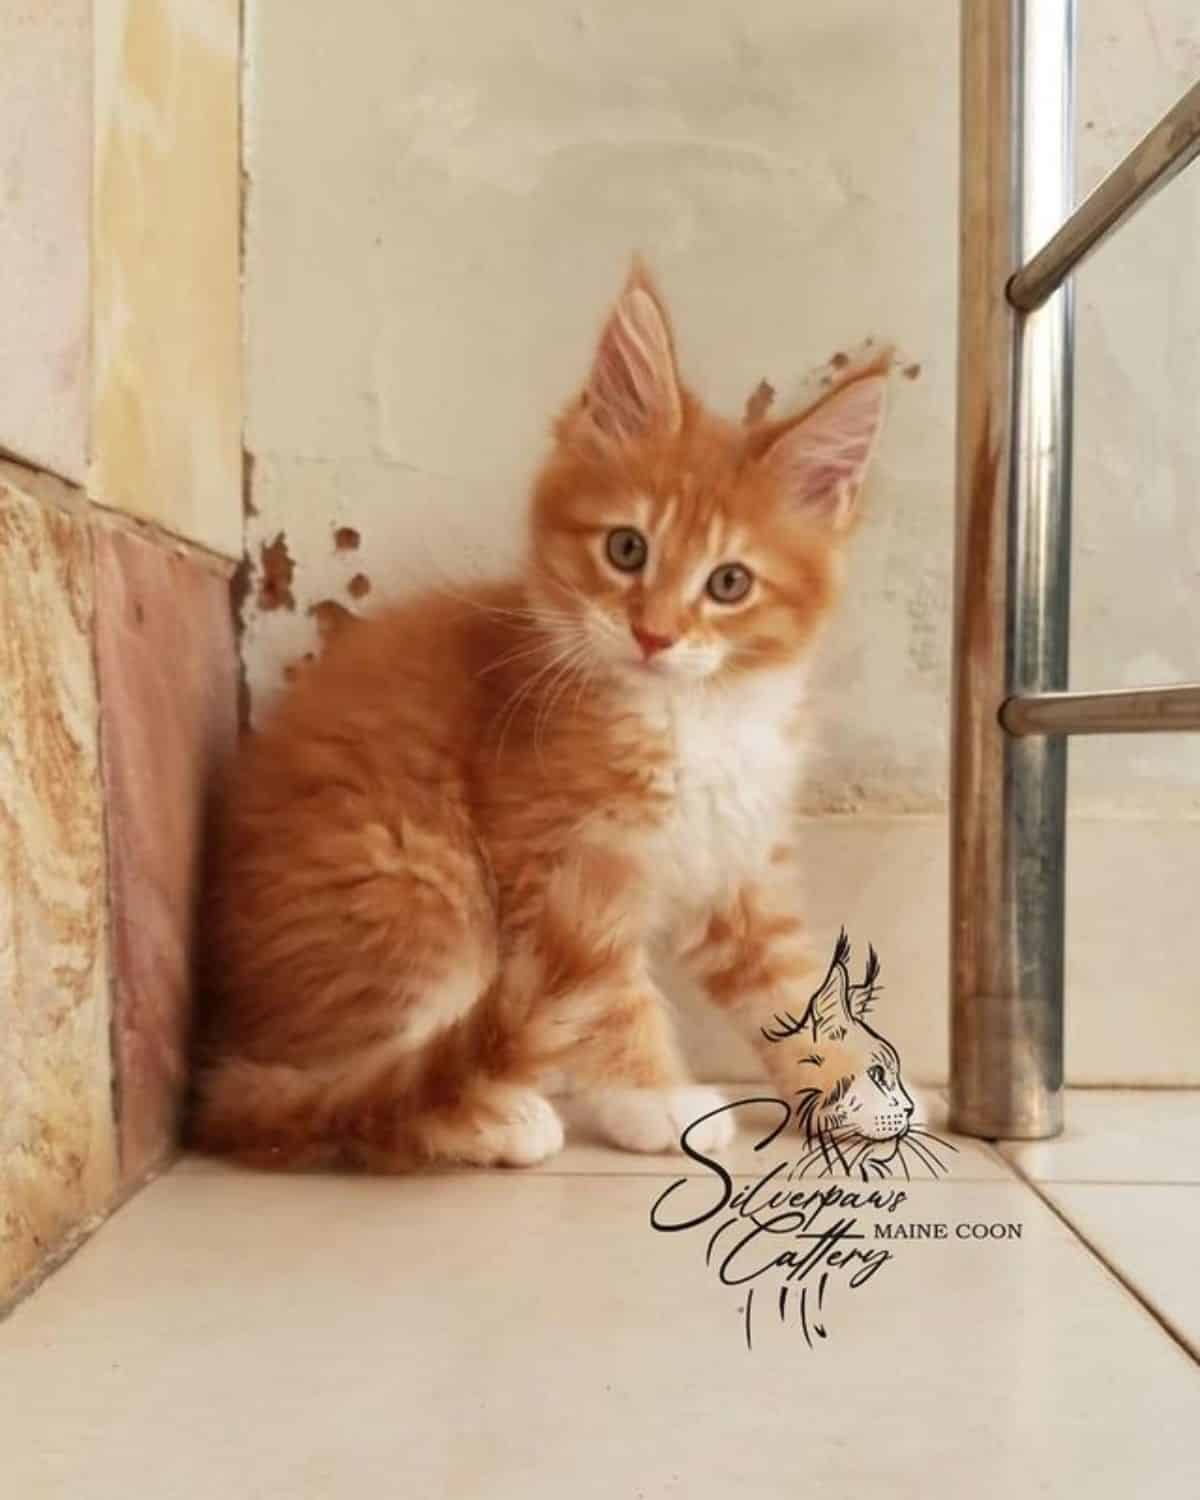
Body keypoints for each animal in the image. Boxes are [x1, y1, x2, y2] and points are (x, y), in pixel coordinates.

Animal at [195, 264, 888, 1164]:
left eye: (729, 583)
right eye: (627, 549)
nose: (654, 634)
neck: (690, 713)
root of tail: (223, 1068)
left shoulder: (738, 865)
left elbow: (786, 981)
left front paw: (851, 1086)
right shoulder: (552, 856)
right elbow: (610, 996)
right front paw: (657, 1099)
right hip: (415, 883)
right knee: (364, 1097)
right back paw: (494, 1113)